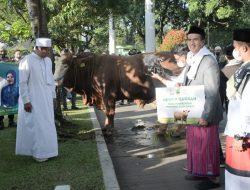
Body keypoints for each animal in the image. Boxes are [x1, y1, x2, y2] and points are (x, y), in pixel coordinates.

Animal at [54, 51, 182, 133]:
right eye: (55, 64)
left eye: (66, 65)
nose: (55, 80)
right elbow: (107, 113)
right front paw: (106, 126)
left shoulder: (108, 95)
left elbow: (110, 112)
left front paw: (110, 129)